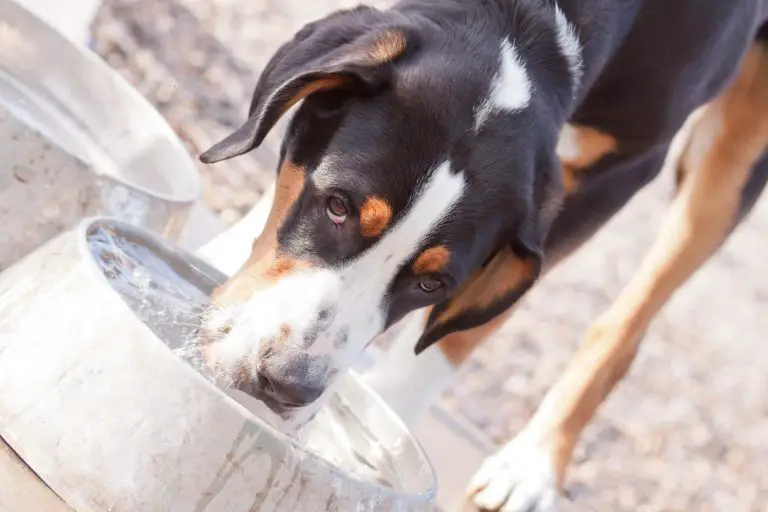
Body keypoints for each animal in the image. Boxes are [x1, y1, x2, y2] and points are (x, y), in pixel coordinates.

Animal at [196, 2, 768, 510]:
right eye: (337, 207)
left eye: (431, 284)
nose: (287, 385)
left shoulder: (621, 171)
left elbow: (466, 330)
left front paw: (389, 422)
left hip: (731, 171)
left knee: (632, 315)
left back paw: (534, 463)